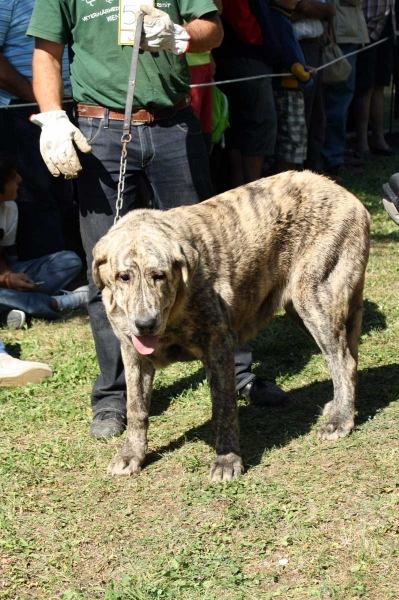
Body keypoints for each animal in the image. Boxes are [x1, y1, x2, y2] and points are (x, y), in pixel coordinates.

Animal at [92, 169, 370, 482]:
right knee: (347, 357)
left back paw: (341, 420)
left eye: (159, 276)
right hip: (305, 308)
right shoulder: (133, 353)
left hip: (315, 299)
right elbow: (136, 408)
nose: (145, 323)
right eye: (123, 277)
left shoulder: (218, 345)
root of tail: (343, 193)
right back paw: (342, 407)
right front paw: (132, 454)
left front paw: (226, 460)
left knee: (342, 360)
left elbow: (223, 408)